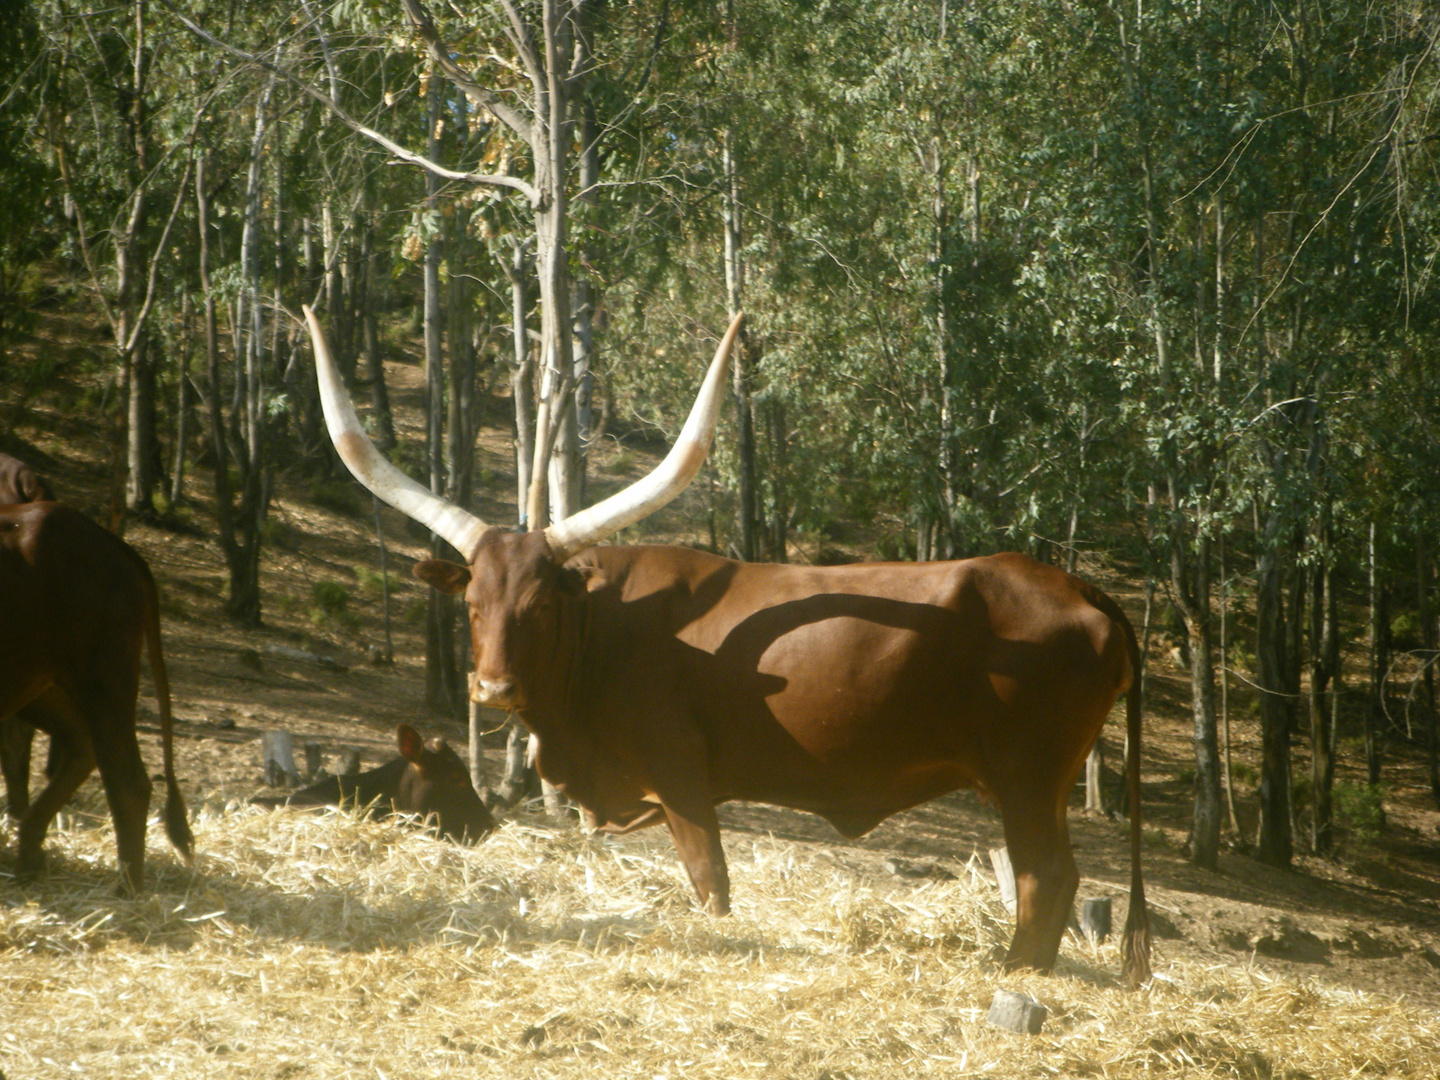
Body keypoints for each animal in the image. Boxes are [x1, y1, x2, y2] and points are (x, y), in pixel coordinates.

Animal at [0, 504, 191, 892]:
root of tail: (115, 546)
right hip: (42, 686)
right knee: (80, 744)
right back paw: (30, 858)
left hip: (104, 680)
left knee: (129, 782)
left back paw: (128, 888)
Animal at [306, 305, 1157, 990]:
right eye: (474, 603)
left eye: (541, 603)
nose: (492, 689)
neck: (604, 629)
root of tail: (1077, 587)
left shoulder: (683, 778)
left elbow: (710, 884)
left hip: (1027, 777)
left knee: (1048, 879)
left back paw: (1014, 975)